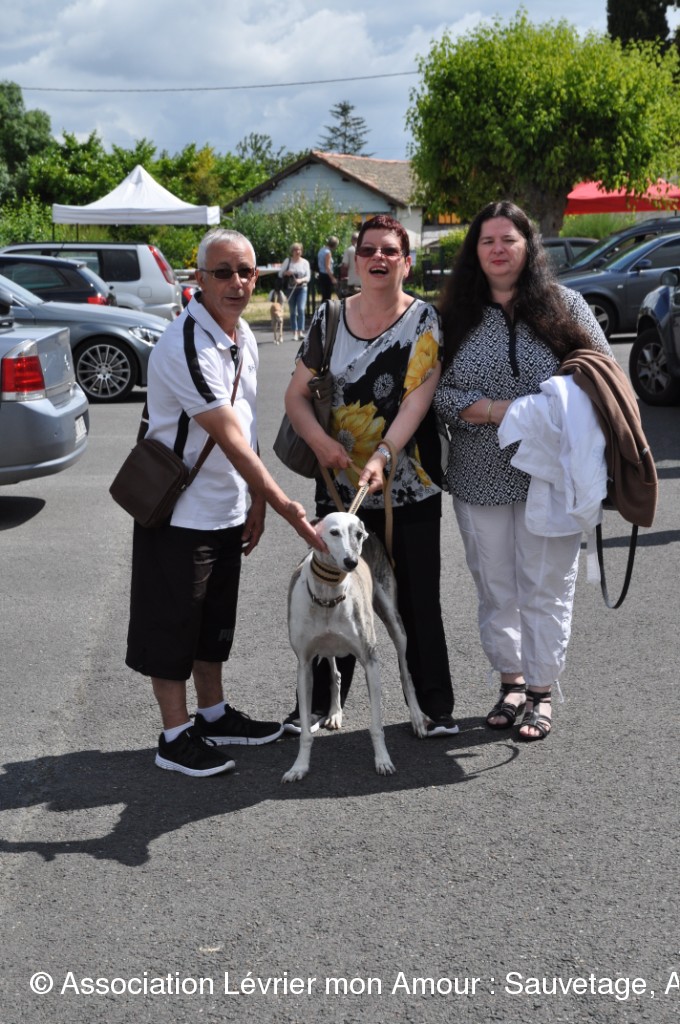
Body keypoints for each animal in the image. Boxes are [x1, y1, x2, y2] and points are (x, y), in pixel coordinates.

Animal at [282, 511, 428, 783]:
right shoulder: (304, 665)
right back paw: (334, 713)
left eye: (358, 535)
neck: (328, 596)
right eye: (333, 532)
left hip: (394, 621)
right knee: (336, 673)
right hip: (327, 648)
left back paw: (417, 718)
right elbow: (306, 731)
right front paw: (299, 767)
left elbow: (377, 726)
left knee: (405, 672)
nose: (351, 562)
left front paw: (383, 760)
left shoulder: (371, 661)